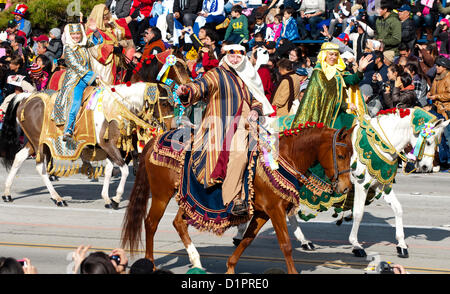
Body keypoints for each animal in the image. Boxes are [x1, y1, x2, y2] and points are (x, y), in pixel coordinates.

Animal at [121, 124, 356, 274]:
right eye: (341, 156)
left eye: (351, 155)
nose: (346, 187)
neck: (284, 158)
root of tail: (155, 139)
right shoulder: (275, 210)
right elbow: (286, 244)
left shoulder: (262, 213)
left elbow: (246, 240)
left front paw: (230, 267)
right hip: (161, 194)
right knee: (151, 223)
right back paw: (150, 264)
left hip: (188, 199)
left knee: (178, 222)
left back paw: (196, 260)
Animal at [234, 107, 448, 258]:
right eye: (428, 142)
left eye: (438, 142)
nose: (427, 167)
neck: (379, 142)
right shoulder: (361, 185)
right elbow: (359, 214)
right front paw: (356, 245)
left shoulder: (382, 185)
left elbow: (398, 209)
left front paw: (401, 244)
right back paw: (240, 233)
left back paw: (304, 241)